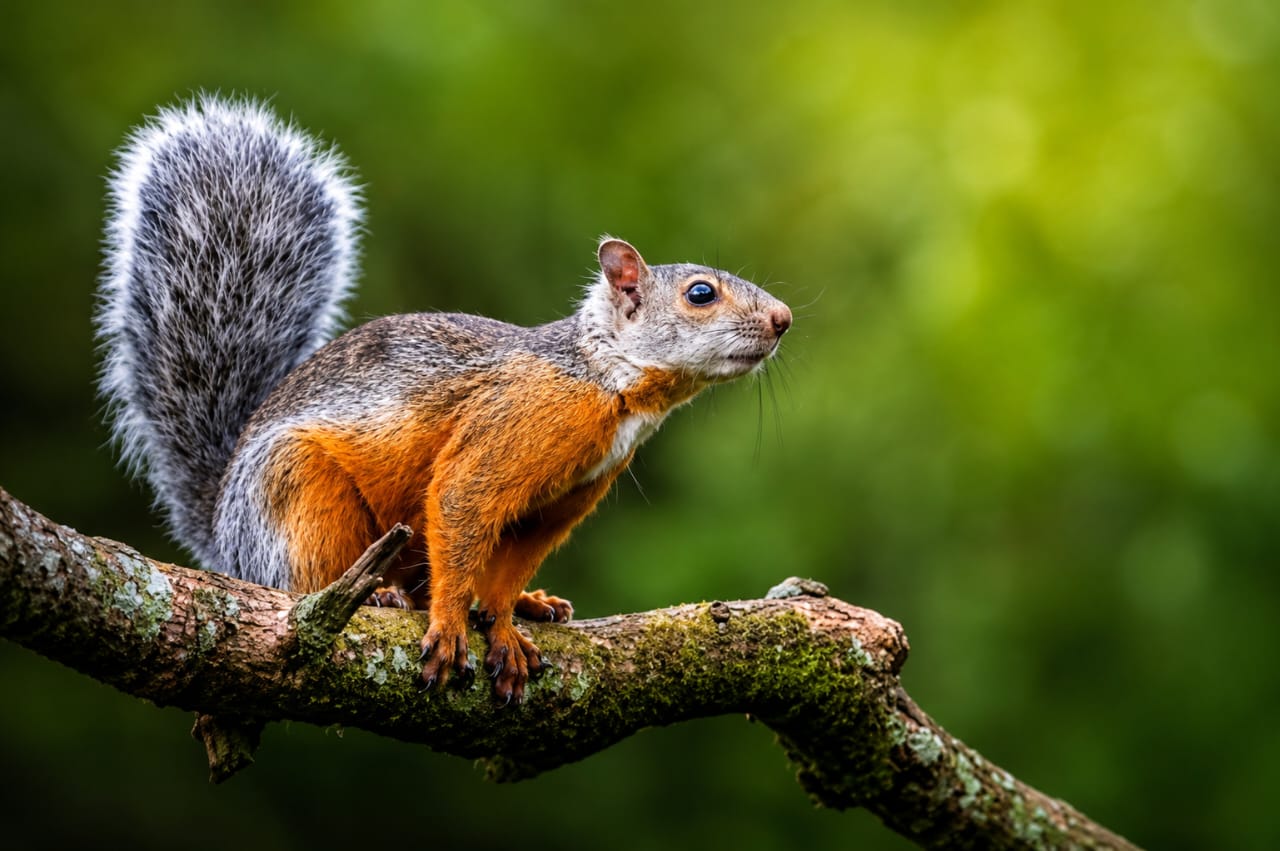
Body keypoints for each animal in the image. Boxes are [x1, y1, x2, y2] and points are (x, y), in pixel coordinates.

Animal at [96, 96, 792, 703]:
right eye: (700, 294)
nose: (784, 319)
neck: (605, 382)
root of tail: (223, 538)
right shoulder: (502, 433)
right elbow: (461, 504)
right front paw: (456, 625)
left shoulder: (560, 504)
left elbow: (510, 567)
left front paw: (507, 619)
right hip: (297, 496)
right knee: (301, 581)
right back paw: (375, 596)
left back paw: (528, 604)